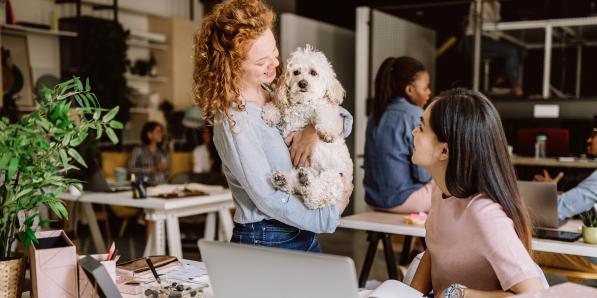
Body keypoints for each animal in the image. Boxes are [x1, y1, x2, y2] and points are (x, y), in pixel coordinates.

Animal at [262, 44, 354, 210]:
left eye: (313, 73)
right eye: (296, 72)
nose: (302, 83)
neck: (302, 104)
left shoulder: (325, 107)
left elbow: (324, 112)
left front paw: (327, 132)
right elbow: (276, 104)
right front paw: (271, 114)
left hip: (334, 177)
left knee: (314, 199)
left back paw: (306, 183)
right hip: (303, 171)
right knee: (297, 188)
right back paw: (285, 180)